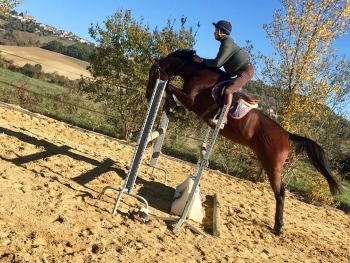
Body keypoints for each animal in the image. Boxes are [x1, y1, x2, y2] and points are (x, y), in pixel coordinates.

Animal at [146, 49, 342, 235]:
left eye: (153, 73)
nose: (148, 96)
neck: (196, 74)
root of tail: (286, 134)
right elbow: (171, 88)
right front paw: (172, 107)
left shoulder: (191, 100)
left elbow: (171, 88)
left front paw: (173, 105)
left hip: (272, 165)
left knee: (280, 193)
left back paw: (278, 227)